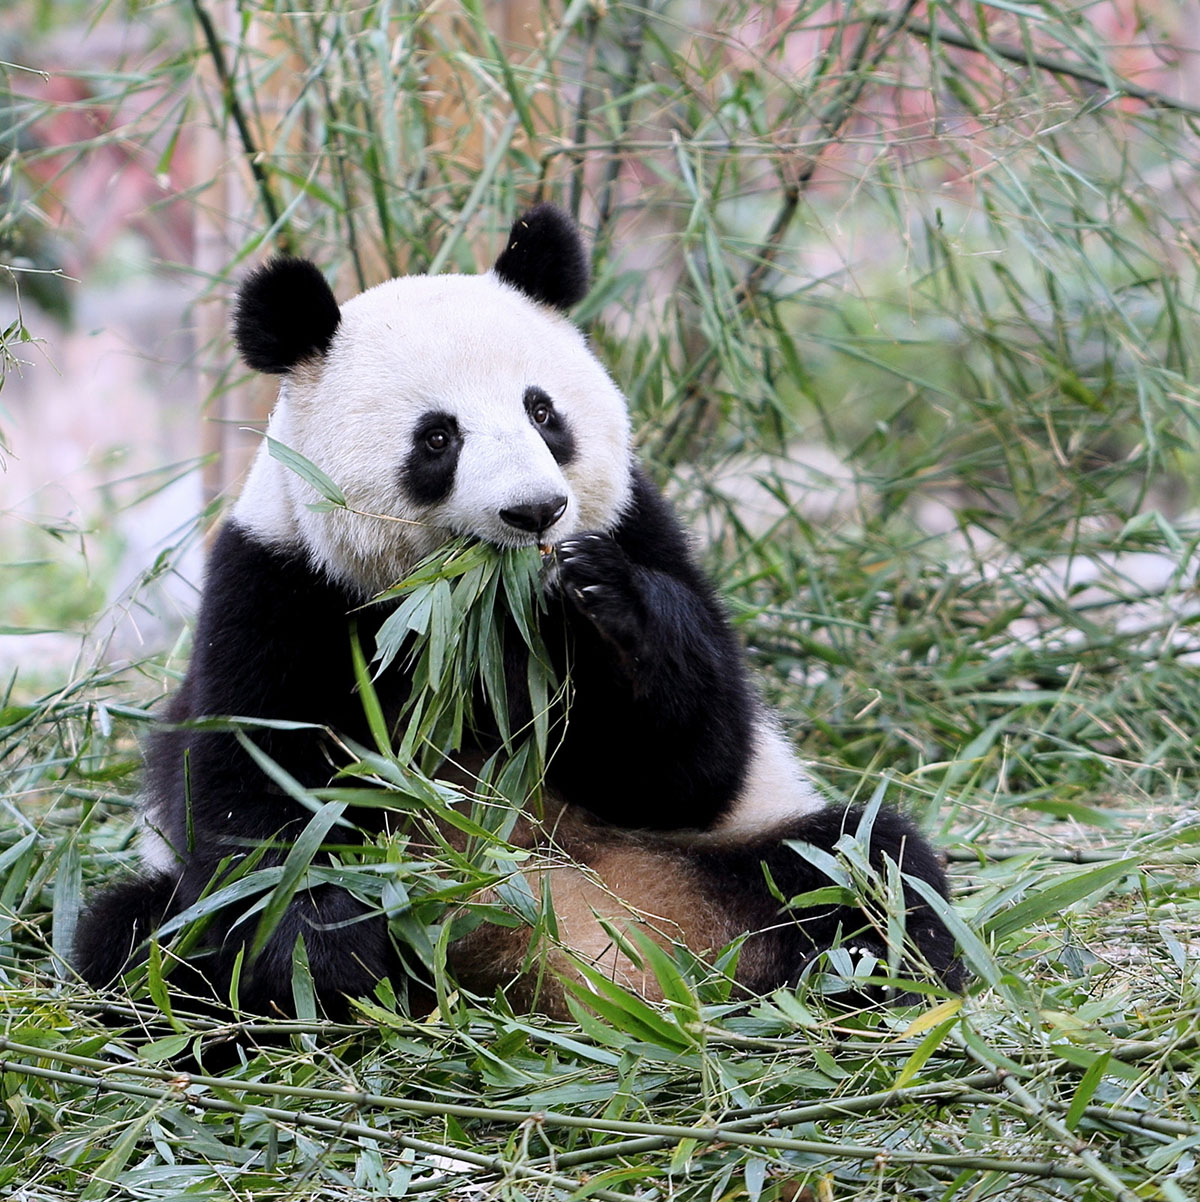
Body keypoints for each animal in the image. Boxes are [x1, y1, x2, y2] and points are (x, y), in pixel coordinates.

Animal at [75, 204, 961, 1014]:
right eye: (438, 438)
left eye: (543, 412)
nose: (535, 512)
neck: (469, 614)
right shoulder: (280, 584)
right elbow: (256, 790)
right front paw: (327, 951)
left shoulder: (639, 524)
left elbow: (695, 760)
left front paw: (603, 602)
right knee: (140, 935)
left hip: (728, 855)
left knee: (864, 869)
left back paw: (875, 984)